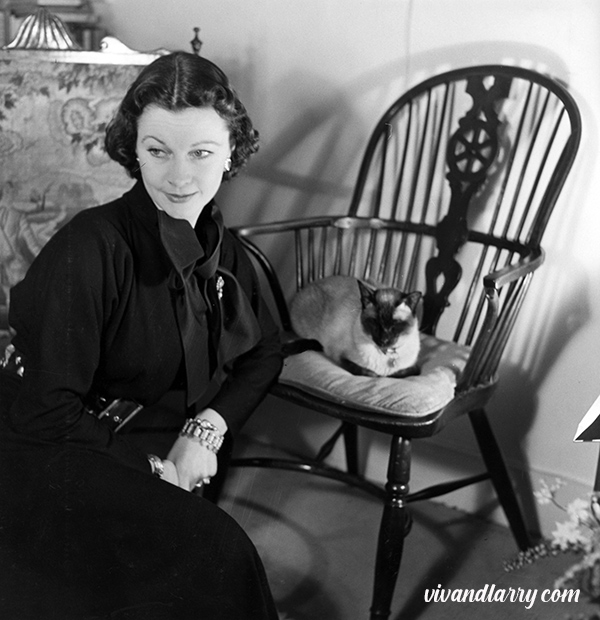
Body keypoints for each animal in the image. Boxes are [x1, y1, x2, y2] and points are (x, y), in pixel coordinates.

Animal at [290, 276, 422, 378]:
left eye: (394, 325)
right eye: (375, 322)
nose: (383, 340)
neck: (386, 354)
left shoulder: (414, 366)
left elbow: (404, 372)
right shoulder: (338, 356)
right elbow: (367, 372)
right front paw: (377, 375)